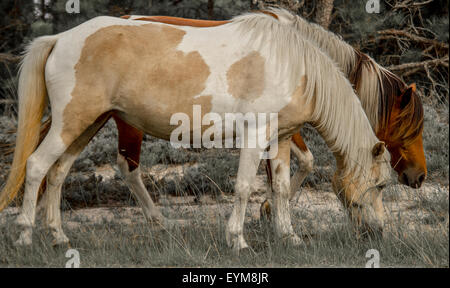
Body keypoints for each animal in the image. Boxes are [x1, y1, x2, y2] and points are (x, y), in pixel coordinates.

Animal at [0, 10, 390, 252]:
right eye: (382, 185)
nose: (379, 232)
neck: (292, 65)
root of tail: (60, 39)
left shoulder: (279, 139)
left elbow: (279, 188)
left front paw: (289, 236)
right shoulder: (255, 135)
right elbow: (244, 187)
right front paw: (238, 240)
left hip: (86, 125)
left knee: (58, 173)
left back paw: (59, 238)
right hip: (72, 122)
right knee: (36, 166)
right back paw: (24, 236)